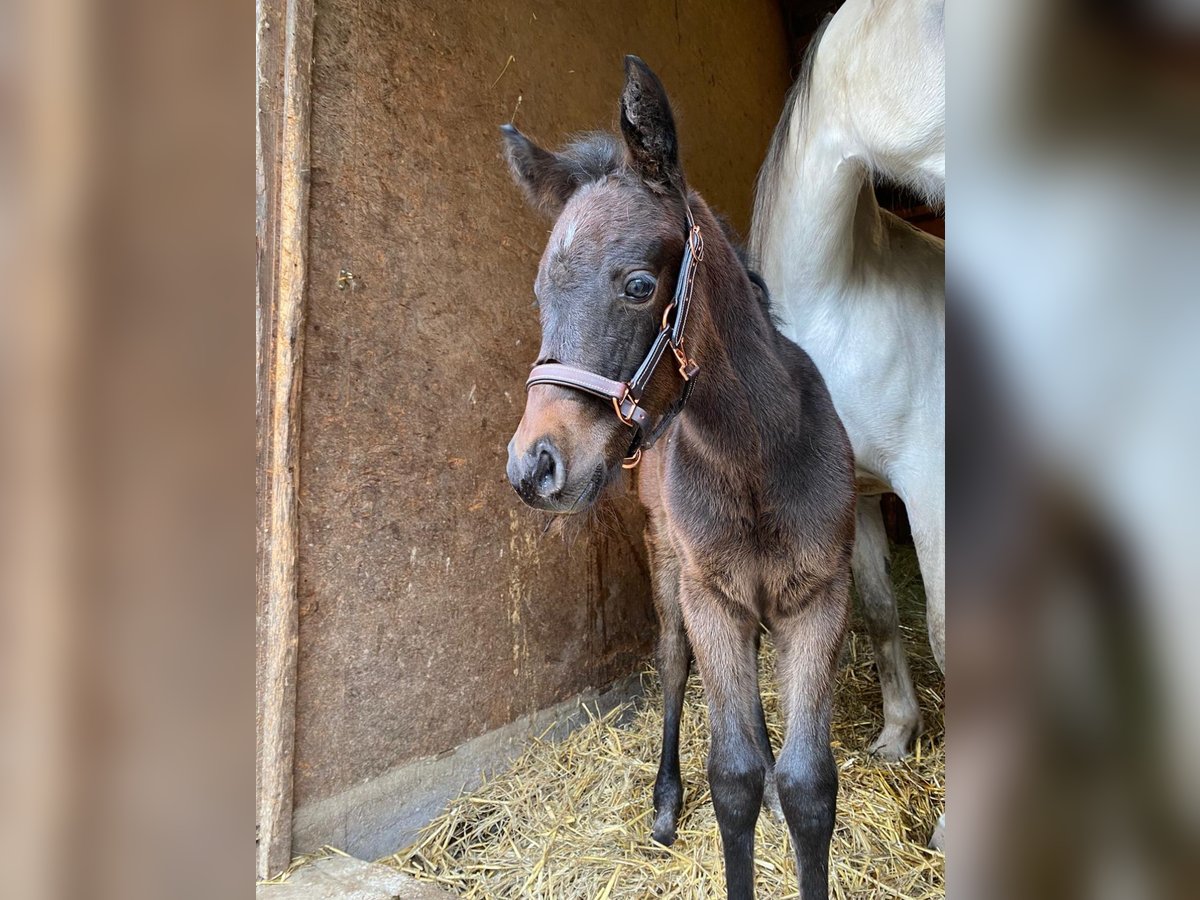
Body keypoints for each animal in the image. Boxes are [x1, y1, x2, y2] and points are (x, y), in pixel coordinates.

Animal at [501, 58, 859, 900]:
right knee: (671, 664)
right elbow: (733, 778)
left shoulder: (819, 598)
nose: (533, 466)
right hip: (670, 565)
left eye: (638, 285)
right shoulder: (711, 598)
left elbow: (806, 785)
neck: (752, 458)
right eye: (541, 294)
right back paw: (665, 802)